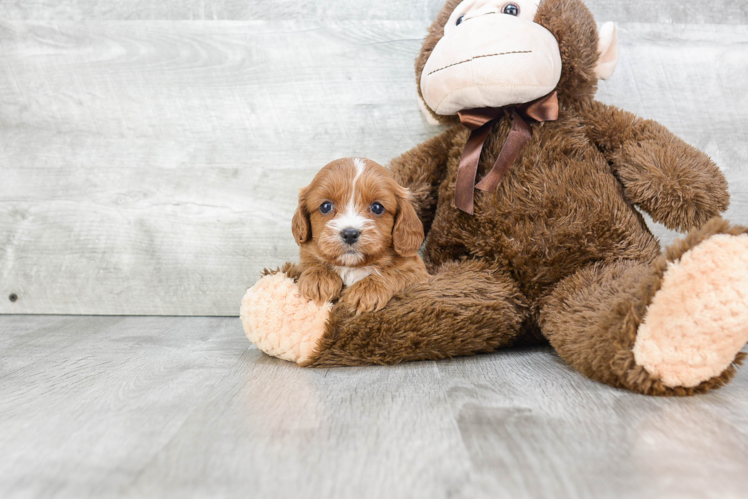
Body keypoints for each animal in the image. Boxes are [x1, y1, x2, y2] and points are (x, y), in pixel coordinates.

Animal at [294, 157, 432, 312]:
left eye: (377, 207)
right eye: (325, 206)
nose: (350, 234)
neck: (353, 266)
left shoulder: (418, 273)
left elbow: (395, 273)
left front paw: (367, 290)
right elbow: (312, 261)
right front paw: (318, 278)